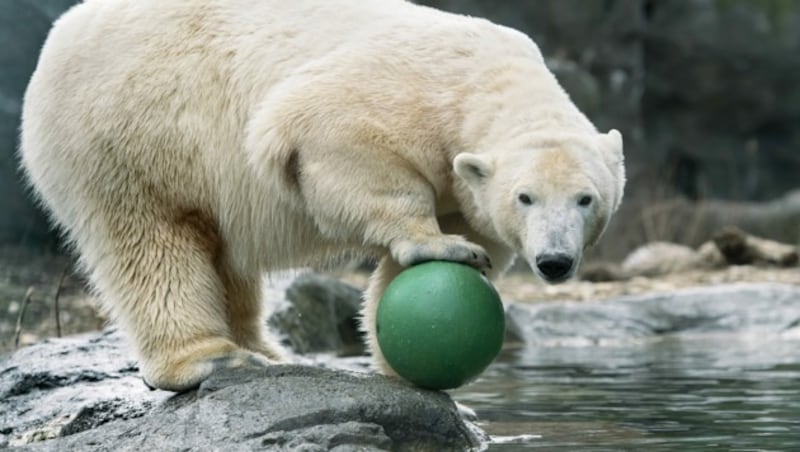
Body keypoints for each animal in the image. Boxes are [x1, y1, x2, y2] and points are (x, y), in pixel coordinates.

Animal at [20, 0, 624, 392]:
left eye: (586, 199)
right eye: (526, 197)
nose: (553, 261)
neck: (486, 80)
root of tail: (57, 38)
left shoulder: (467, 184)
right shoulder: (404, 91)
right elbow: (330, 130)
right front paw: (438, 245)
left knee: (225, 258)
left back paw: (266, 349)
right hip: (132, 131)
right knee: (152, 242)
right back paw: (212, 360)